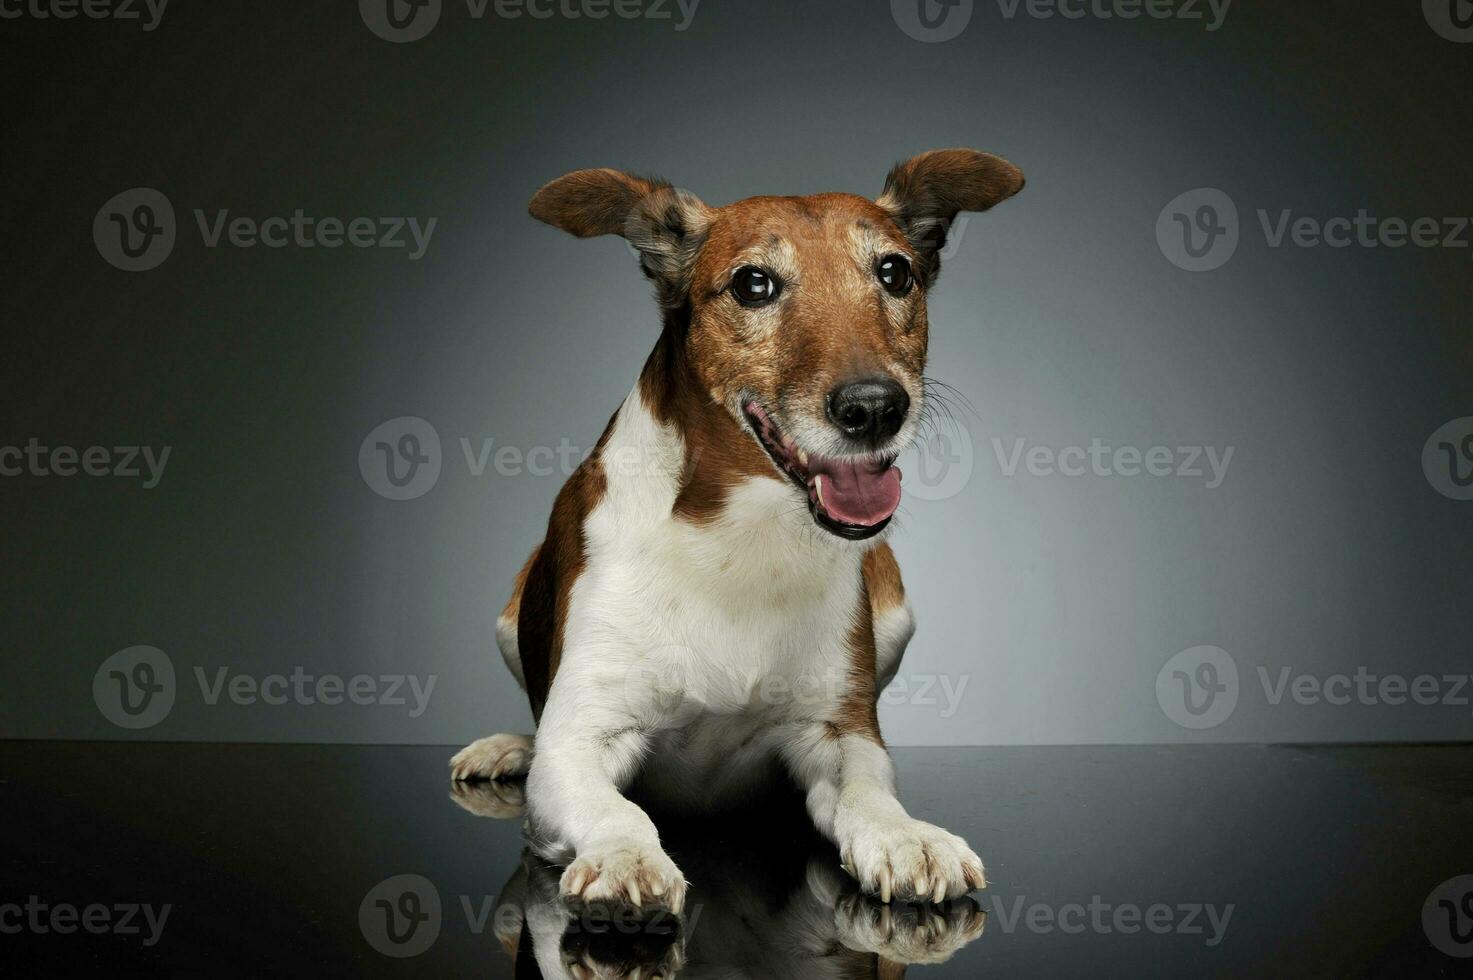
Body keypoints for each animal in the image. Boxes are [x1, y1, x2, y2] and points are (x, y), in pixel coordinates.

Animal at [447, 148, 1025, 913]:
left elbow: (869, 793)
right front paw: (627, 854)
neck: (743, 534)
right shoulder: (578, 741)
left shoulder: (842, 732)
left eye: (894, 273)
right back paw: (508, 747)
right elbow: (611, 804)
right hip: (510, 617)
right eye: (754, 284)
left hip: (893, 601)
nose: (874, 407)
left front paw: (906, 836)